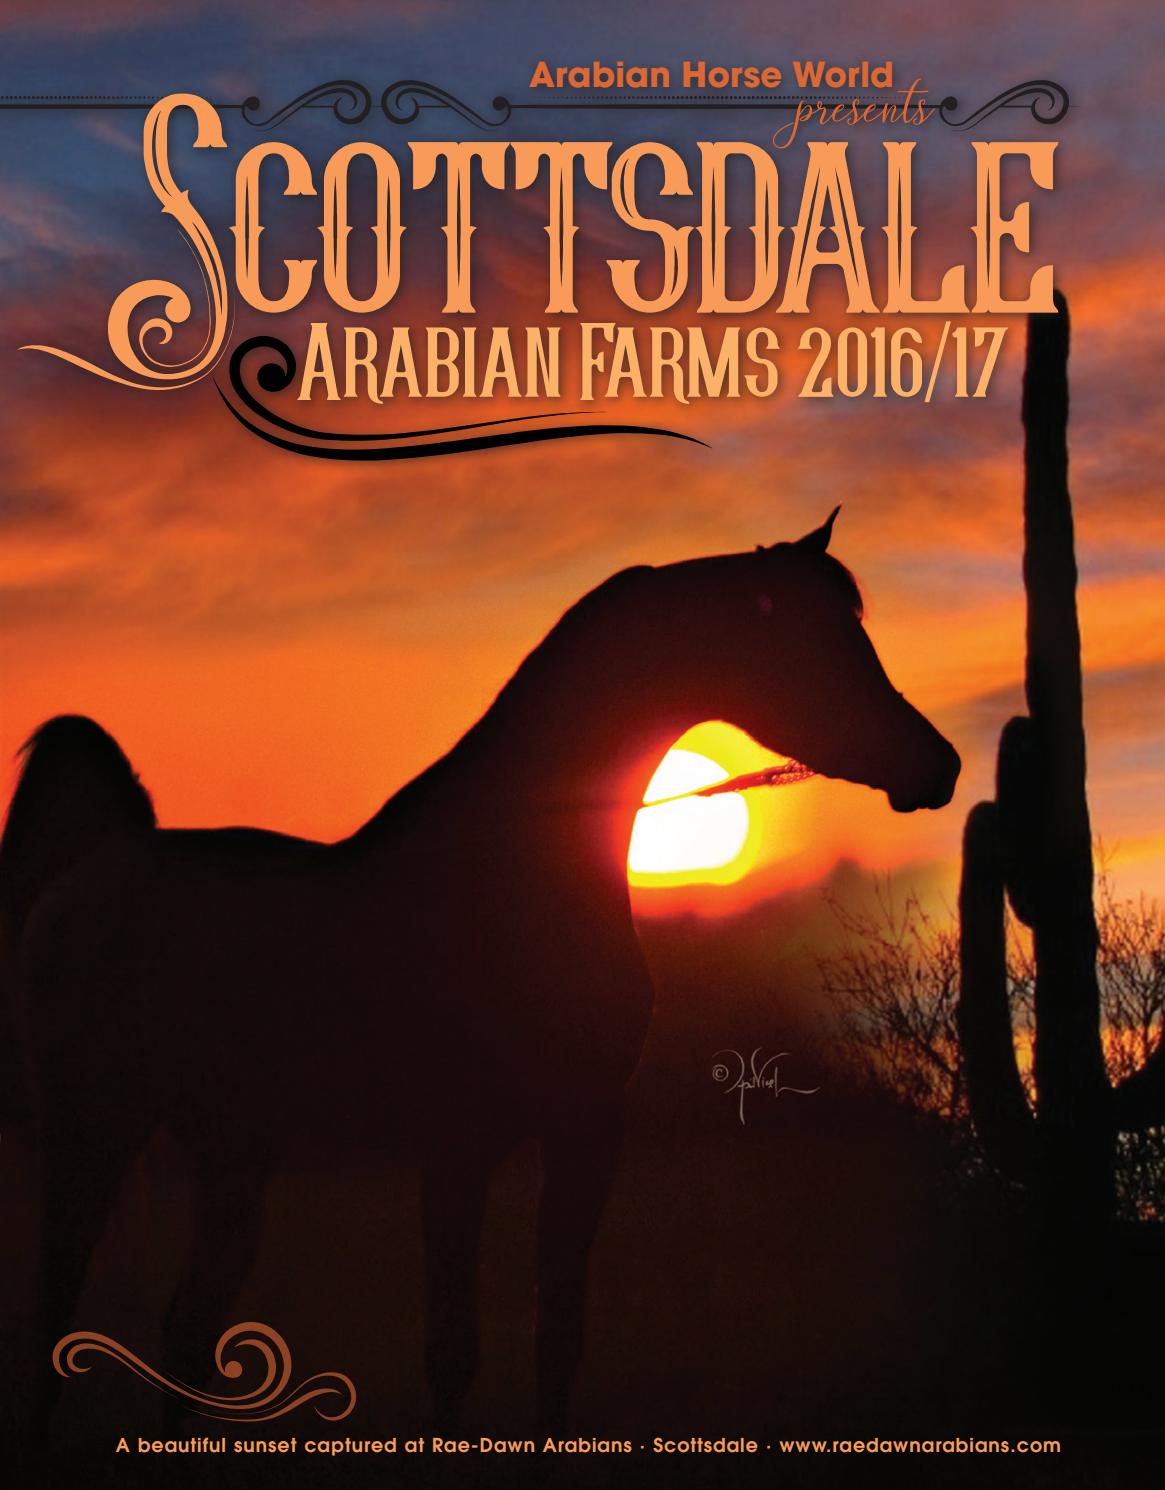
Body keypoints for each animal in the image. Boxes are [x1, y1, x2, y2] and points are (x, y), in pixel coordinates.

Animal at [0, 510, 959, 1432]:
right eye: (812, 638)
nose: (940, 765)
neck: (517, 869)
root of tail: (98, 863)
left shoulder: (585, 1132)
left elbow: (557, 1341)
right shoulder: (456, 1146)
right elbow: (452, 1355)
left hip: (232, 1147)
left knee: (189, 1331)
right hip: (92, 1128)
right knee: (56, 1325)